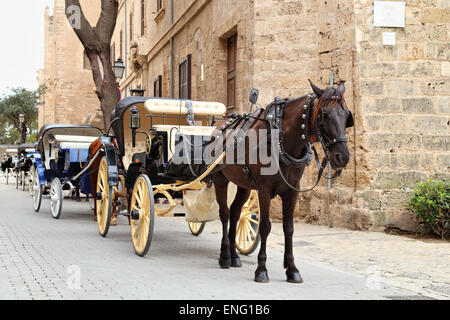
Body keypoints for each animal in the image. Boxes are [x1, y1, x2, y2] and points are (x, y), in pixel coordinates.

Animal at [213, 80, 354, 282]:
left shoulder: (292, 191)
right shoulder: (264, 190)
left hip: (243, 184)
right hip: (220, 179)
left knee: (235, 212)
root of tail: (220, 128)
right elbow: (265, 226)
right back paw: (224, 256)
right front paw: (261, 269)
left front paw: (292, 269)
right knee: (224, 213)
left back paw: (233, 256)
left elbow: (289, 228)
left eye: (347, 115)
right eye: (324, 114)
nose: (342, 157)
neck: (281, 139)